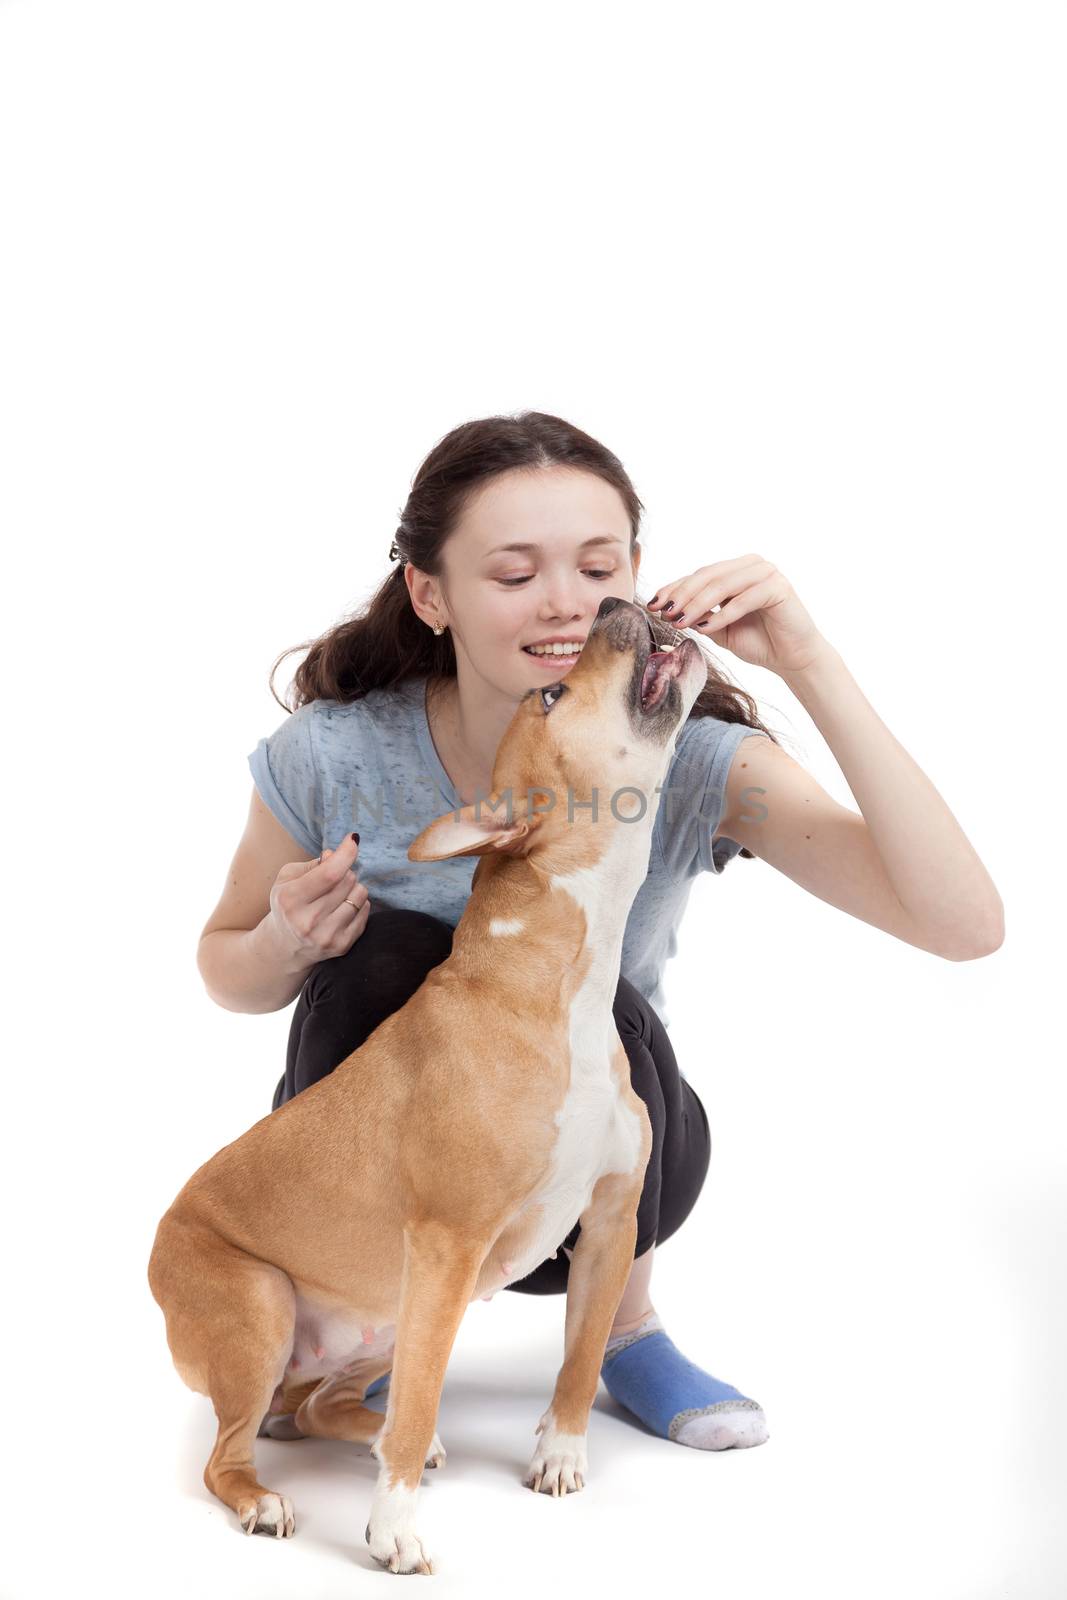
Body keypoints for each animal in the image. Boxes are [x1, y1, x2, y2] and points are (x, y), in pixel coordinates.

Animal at [143, 598, 710, 1574]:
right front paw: (392, 1530)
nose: (610, 604)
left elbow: (578, 1357)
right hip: (267, 1307)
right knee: (232, 1451)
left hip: (386, 1318)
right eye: (551, 692)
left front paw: (560, 1453)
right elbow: (416, 1405)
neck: (554, 982)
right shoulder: (447, 1246)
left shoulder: (608, 1224)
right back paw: (265, 1499)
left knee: (323, 1404)